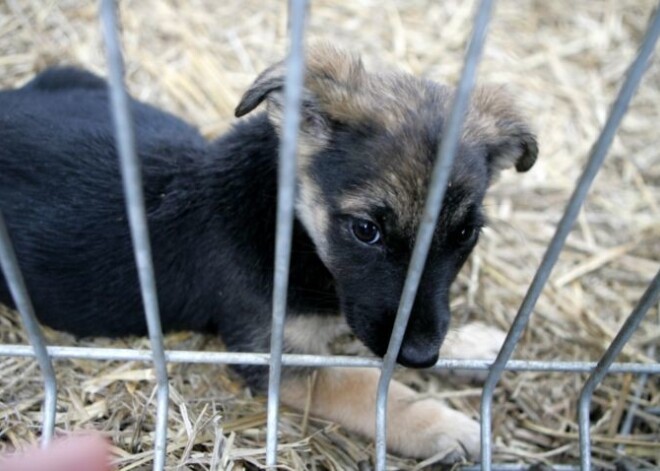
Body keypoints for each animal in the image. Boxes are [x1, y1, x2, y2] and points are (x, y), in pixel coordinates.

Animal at [0, 47, 536, 464]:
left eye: (465, 233)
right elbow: (366, 387)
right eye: (366, 231)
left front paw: (479, 345)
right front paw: (446, 426)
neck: (292, 230)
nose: (422, 356)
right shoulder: (279, 356)